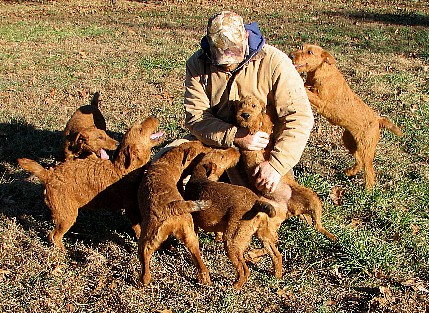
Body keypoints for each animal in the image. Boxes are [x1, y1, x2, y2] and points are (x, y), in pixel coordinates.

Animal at [290, 44, 402, 189]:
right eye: (301, 47)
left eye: (309, 52)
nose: (291, 55)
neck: (322, 71)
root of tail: (378, 120)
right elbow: (306, 87)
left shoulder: (321, 101)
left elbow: (307, 91)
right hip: (349, 141)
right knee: (359, 161)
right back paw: (350, 172)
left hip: (366, 149)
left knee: (369, 171)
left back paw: (368, 190)